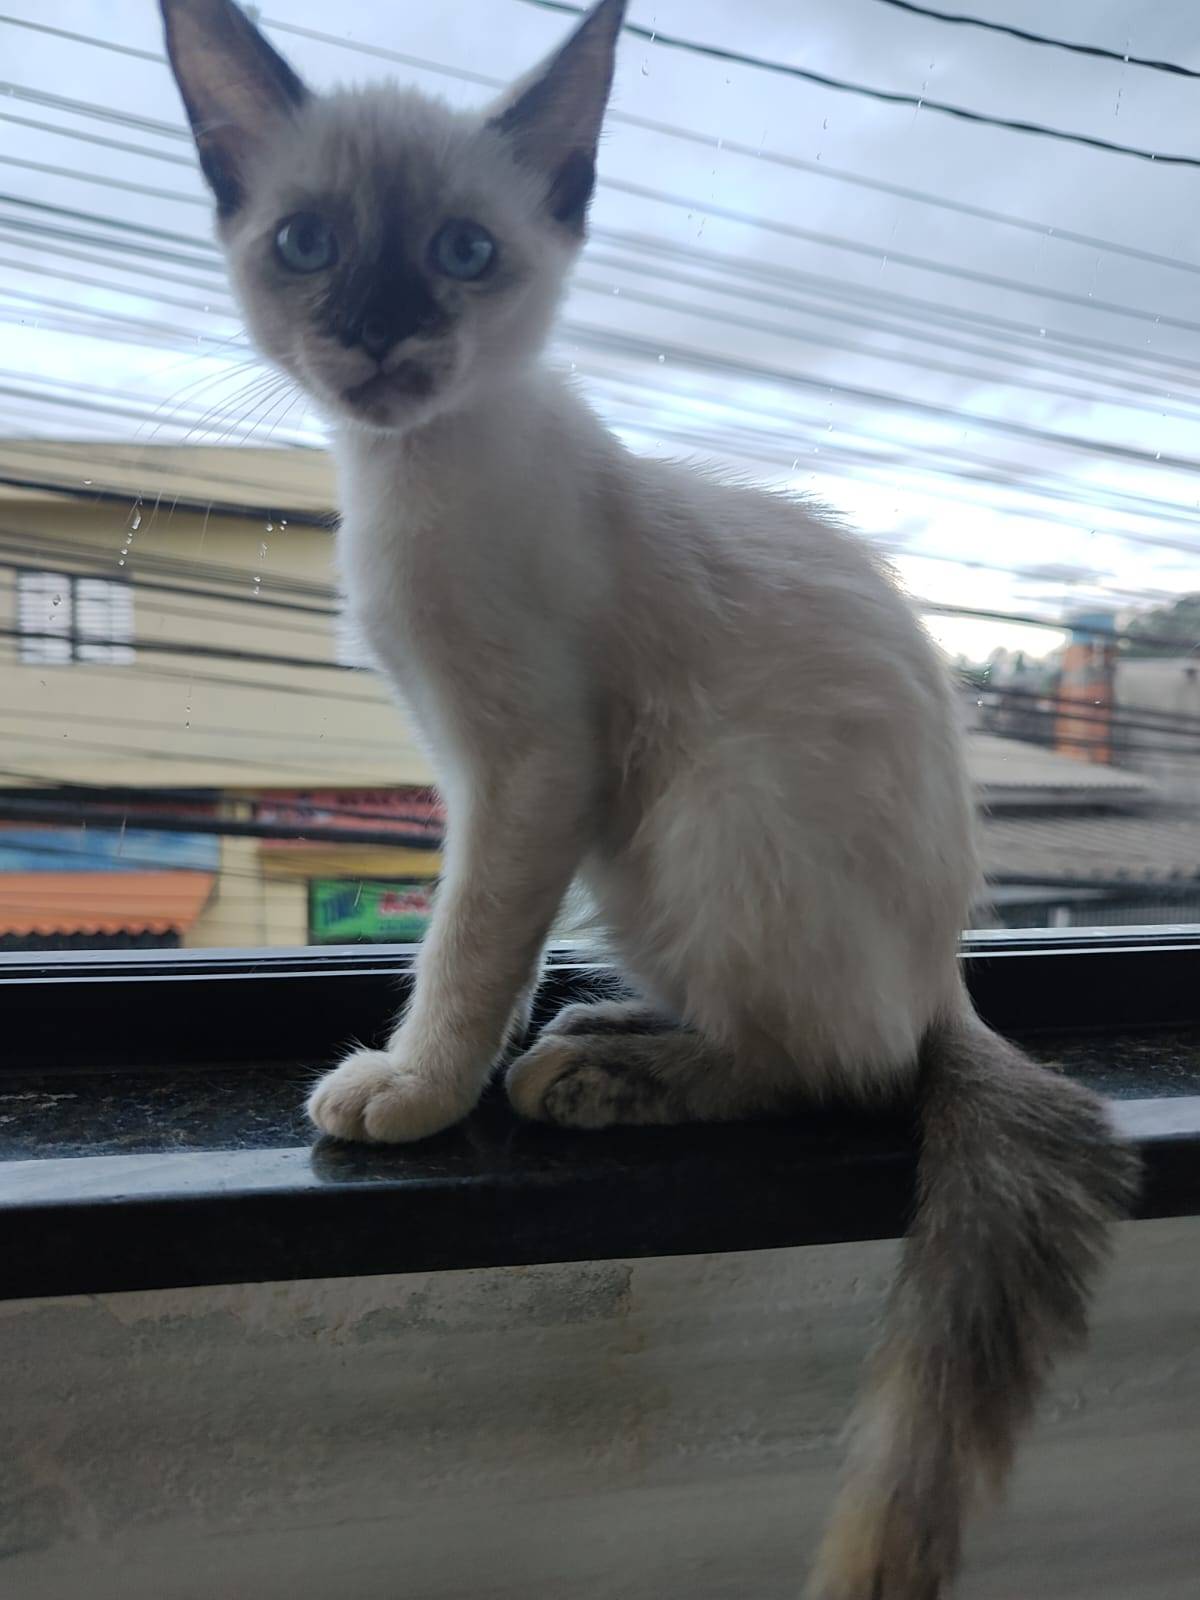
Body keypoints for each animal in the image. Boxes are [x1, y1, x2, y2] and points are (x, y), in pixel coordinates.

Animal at [161, 2, 1137, 1595]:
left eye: (462, 253)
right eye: (307, 244)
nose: (377, 330)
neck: (410, 472)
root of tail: (954, 972)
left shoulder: (528, 769)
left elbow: (467, 948)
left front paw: (415, 1089)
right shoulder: (483, 766)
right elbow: (476, 948)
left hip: (689, 806)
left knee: (849, 1064)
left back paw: (601, 1077)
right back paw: (611, 1030)